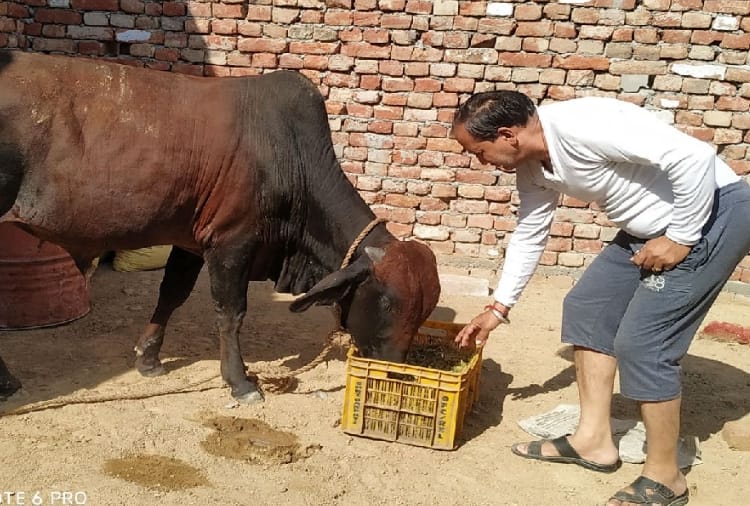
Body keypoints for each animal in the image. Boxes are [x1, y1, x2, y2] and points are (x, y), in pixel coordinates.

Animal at [0, 50, 441, 403]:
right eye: (386, 303)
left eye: (425, 311)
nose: (398, 372)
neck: (290, 156)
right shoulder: (232, 242)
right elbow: (231, 313)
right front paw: (240, 382)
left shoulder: (193, 242)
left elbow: (171, 295)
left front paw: (148, 358)